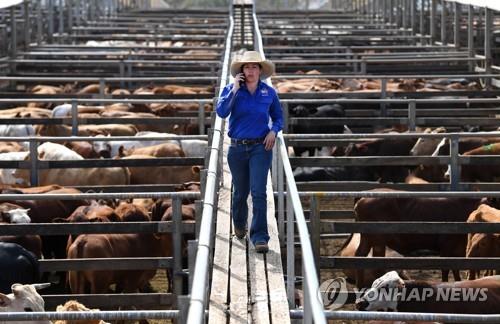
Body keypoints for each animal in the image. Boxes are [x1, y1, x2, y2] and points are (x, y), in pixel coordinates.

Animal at [354, 190, 482, 286]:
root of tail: (364, 197)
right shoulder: (446, 247)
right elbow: (446, 269)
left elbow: (455, 269)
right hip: (375, 239)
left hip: (371, 240)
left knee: (366, 257)